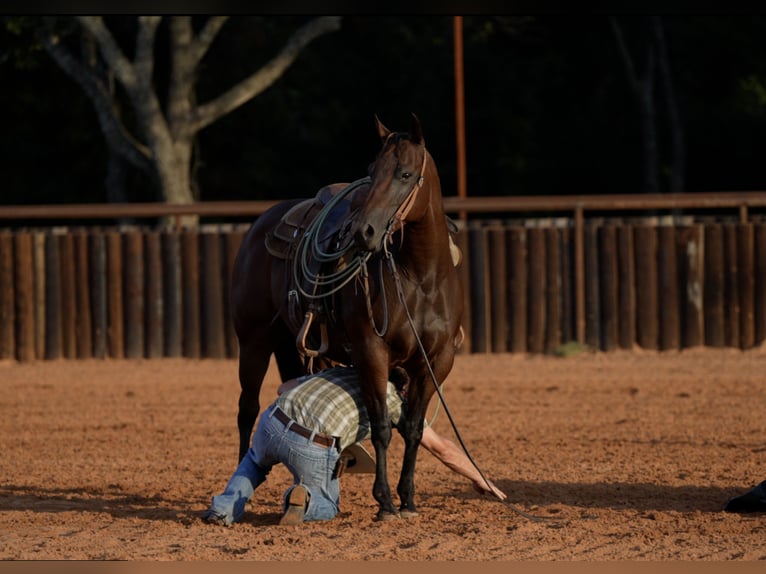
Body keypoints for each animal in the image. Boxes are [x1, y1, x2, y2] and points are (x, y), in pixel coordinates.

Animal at [230, 114, 464, 520]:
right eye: (371, 171)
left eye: (405, 173)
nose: (363, 231)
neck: (420, 278)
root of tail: (263, 222)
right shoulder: (372, 351)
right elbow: (383, 426)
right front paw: (384, 502)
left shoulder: (435, 361)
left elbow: (414, 429)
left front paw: (408, 499)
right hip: (254, 340)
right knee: (248, 408)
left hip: (294, 344)